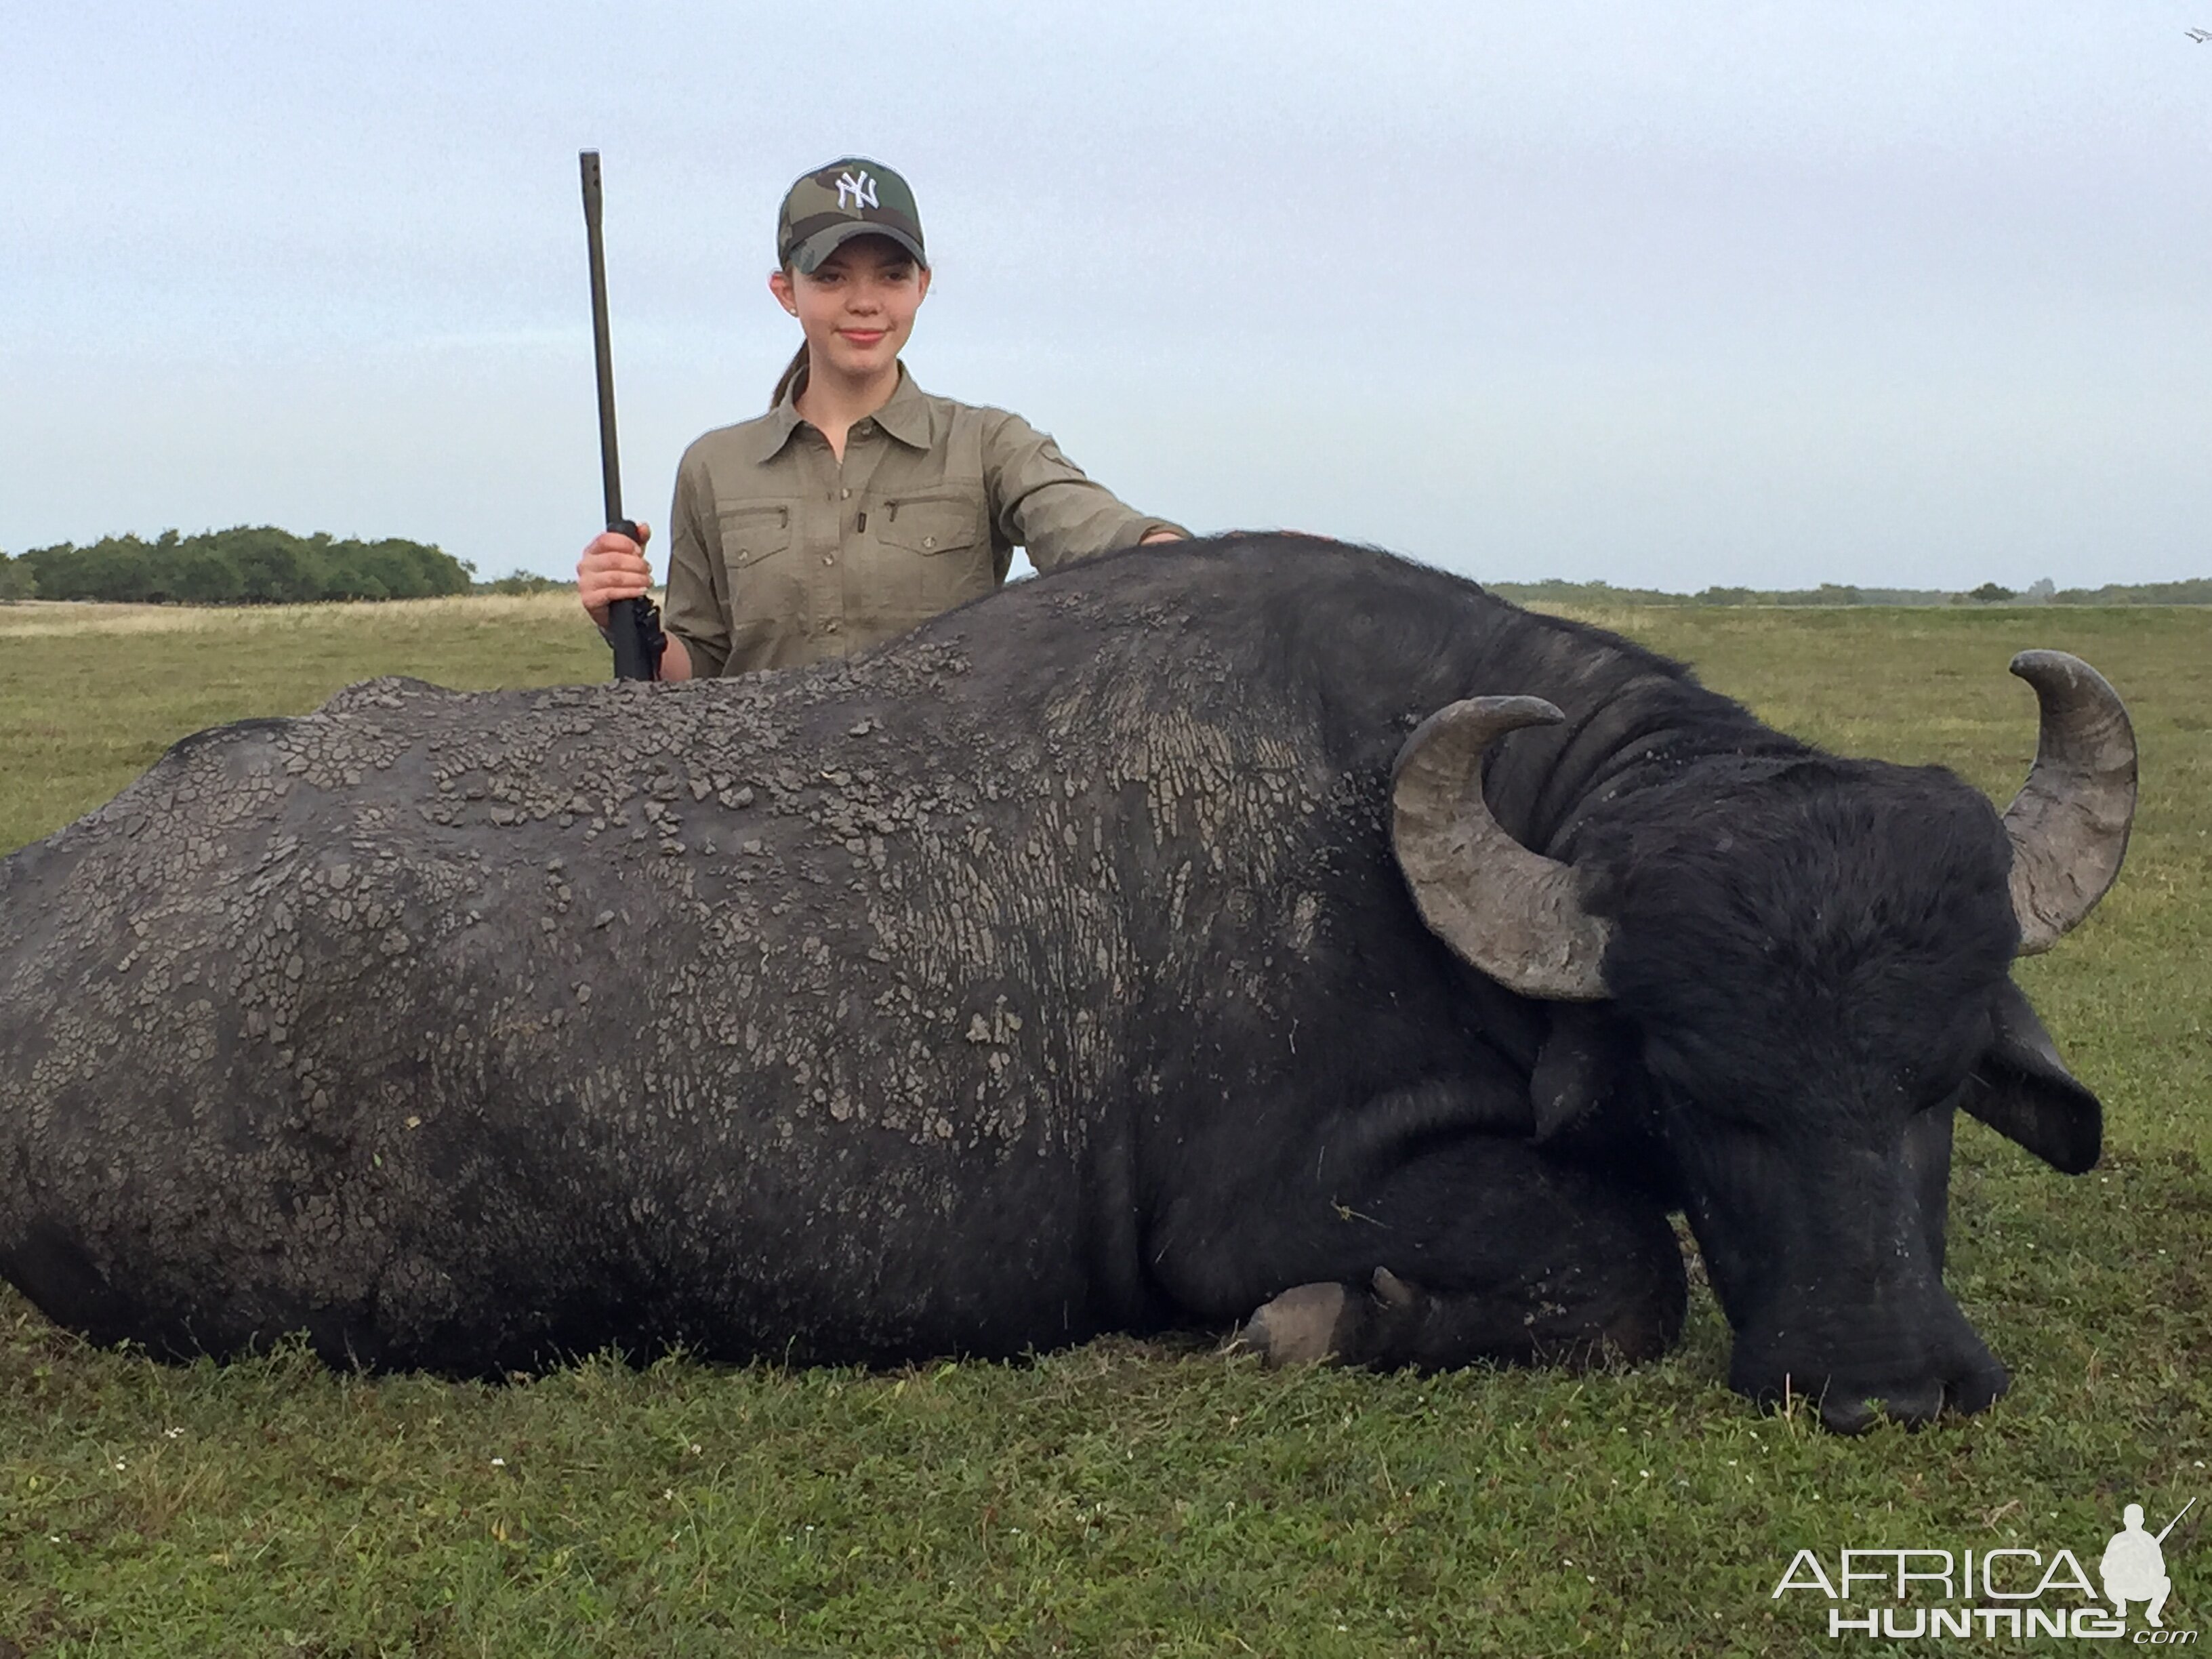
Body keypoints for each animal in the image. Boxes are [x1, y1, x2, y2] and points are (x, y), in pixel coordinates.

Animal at [4, 535, 2141, 1433]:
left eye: (1939, 1078)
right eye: (1696, 1081)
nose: (1885, 1382)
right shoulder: (1263, 1210)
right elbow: (1615, 1276)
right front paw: (1318, 1327)